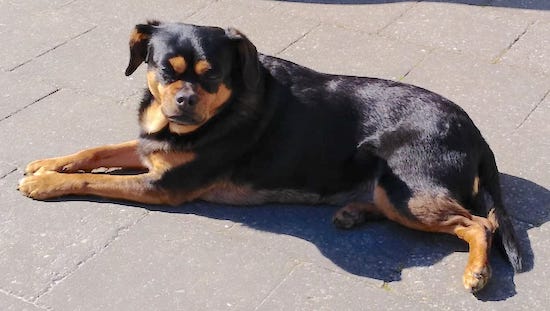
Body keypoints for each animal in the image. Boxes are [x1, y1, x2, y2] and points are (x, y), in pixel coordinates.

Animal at [18, 20, 528, 294]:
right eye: (165, 69)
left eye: (212, 74)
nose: (184, 103)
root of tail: (473, 130)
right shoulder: (151, 148)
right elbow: (94, 150)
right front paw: (46, 163)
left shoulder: (163, 185)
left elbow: (96, 180)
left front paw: (44, 182)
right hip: (393, 192)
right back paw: (352, 211)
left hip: (408, 192)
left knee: (479, 223)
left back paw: (477, 271)